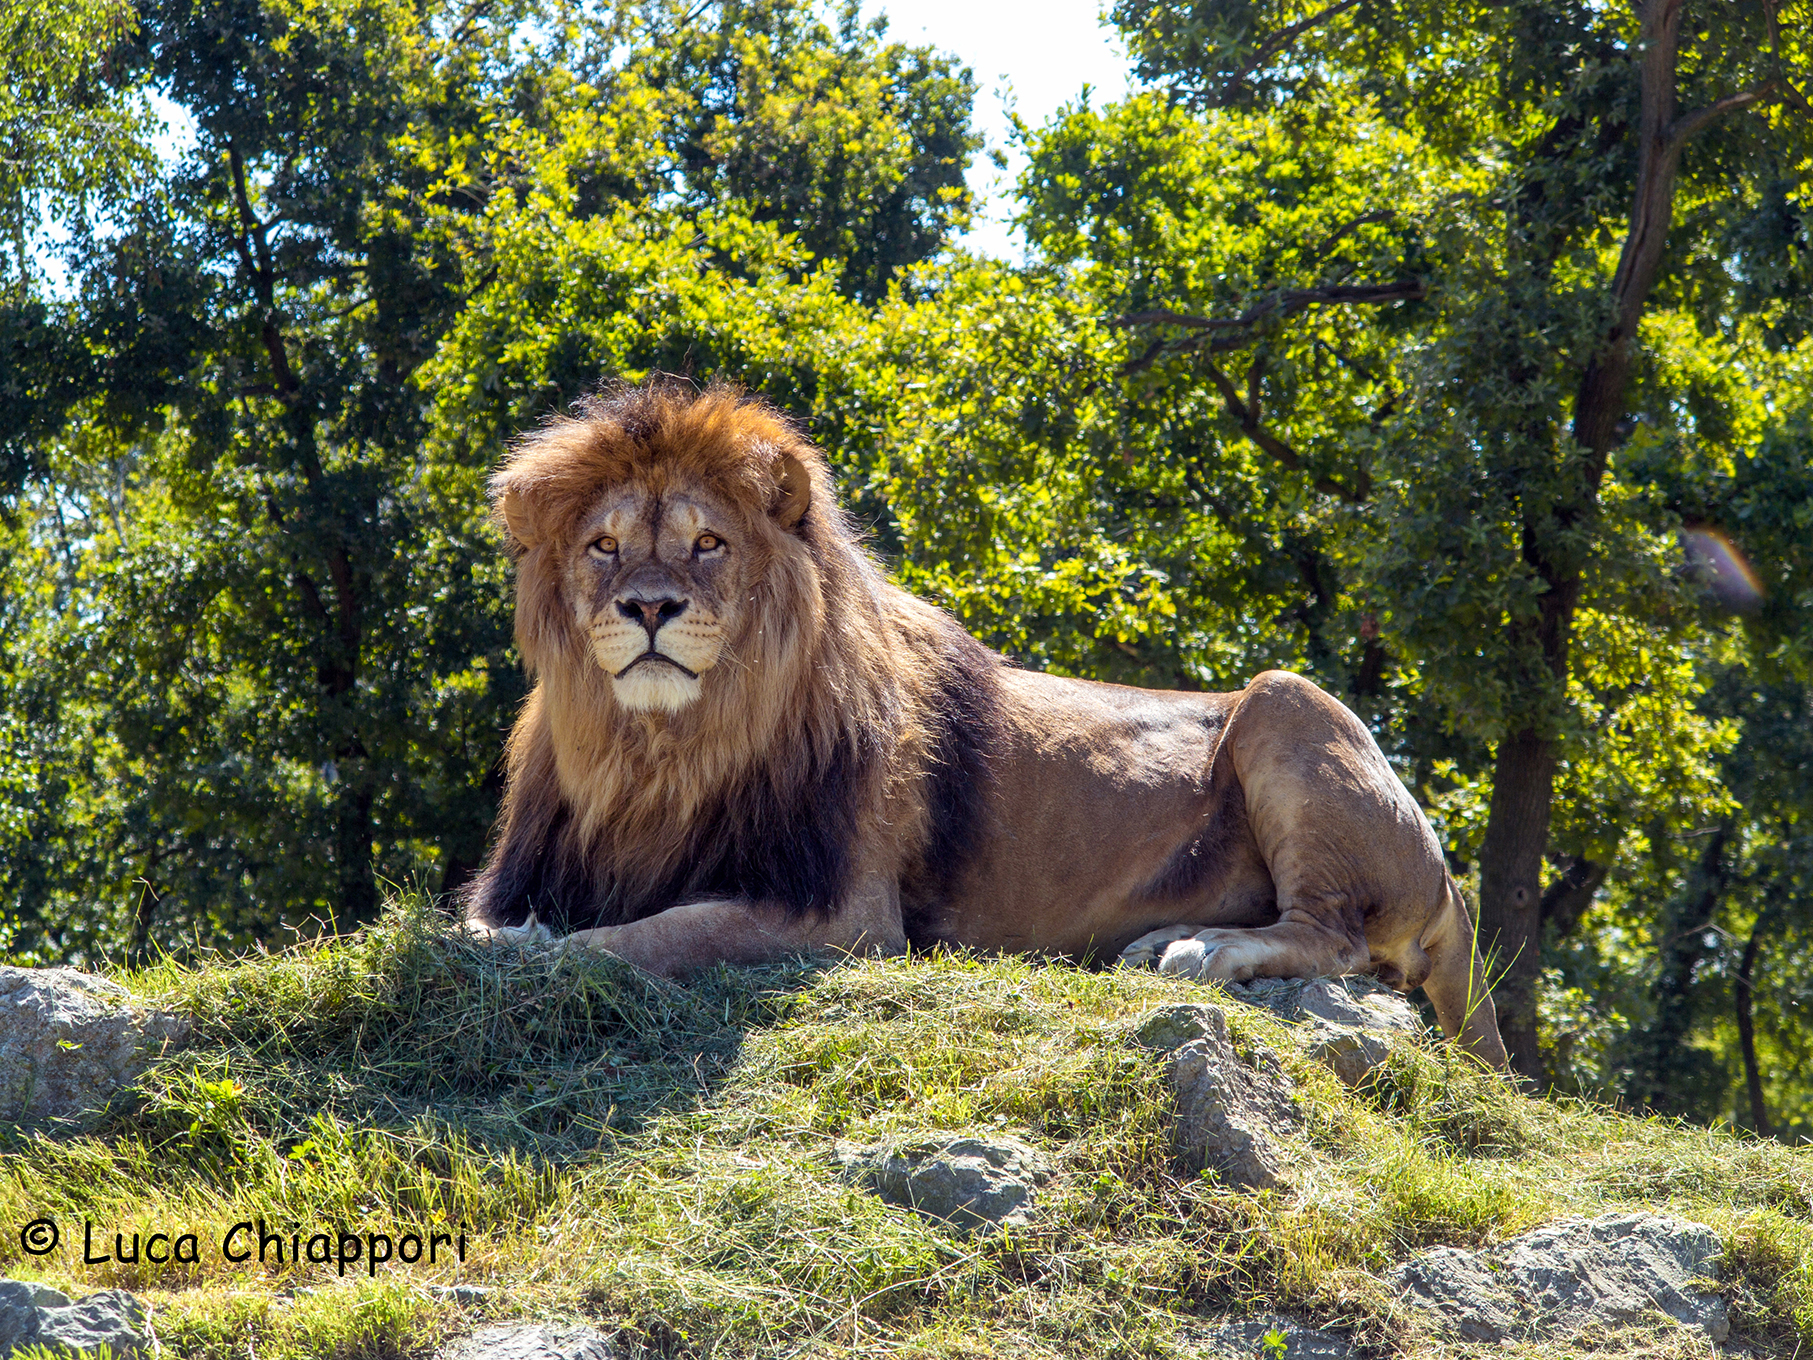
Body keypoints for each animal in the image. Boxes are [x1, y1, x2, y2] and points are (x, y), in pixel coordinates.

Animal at [462, 379, 1507, 1067]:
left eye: (707, 542)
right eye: (603, 546)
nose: (646, 606)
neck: (661, 753)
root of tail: (1450, 882)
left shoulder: (846, 915)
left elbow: (653, 936)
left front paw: (535, 953)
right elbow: (499, 920)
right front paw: (501, 939)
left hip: (1286, 700)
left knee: (1333, 935)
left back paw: (1201, 947)